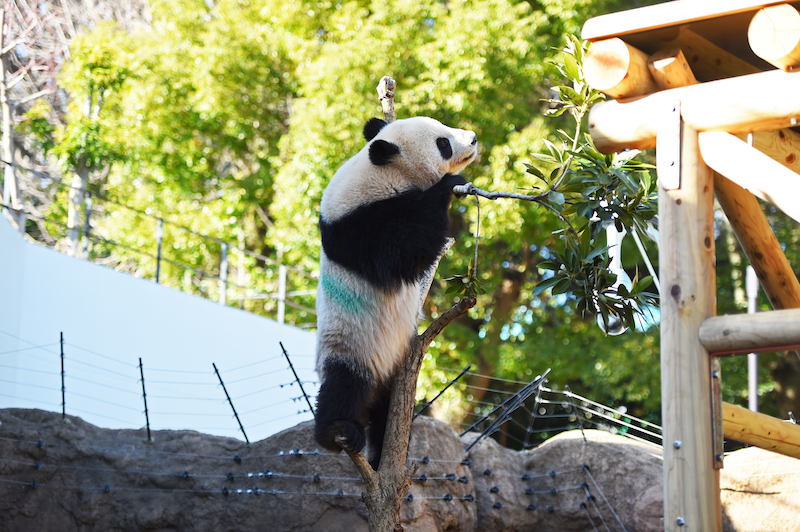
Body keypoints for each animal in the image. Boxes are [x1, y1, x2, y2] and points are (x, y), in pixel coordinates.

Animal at [312, 115, 476, 466]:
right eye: (443, 143)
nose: (473, 138)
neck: (382, 173)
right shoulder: (354, 225)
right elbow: (397, 254)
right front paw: (449, 186)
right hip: (349, 343)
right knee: (343, 385)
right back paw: (338, 432)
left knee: (387, 416)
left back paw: (381, 457)